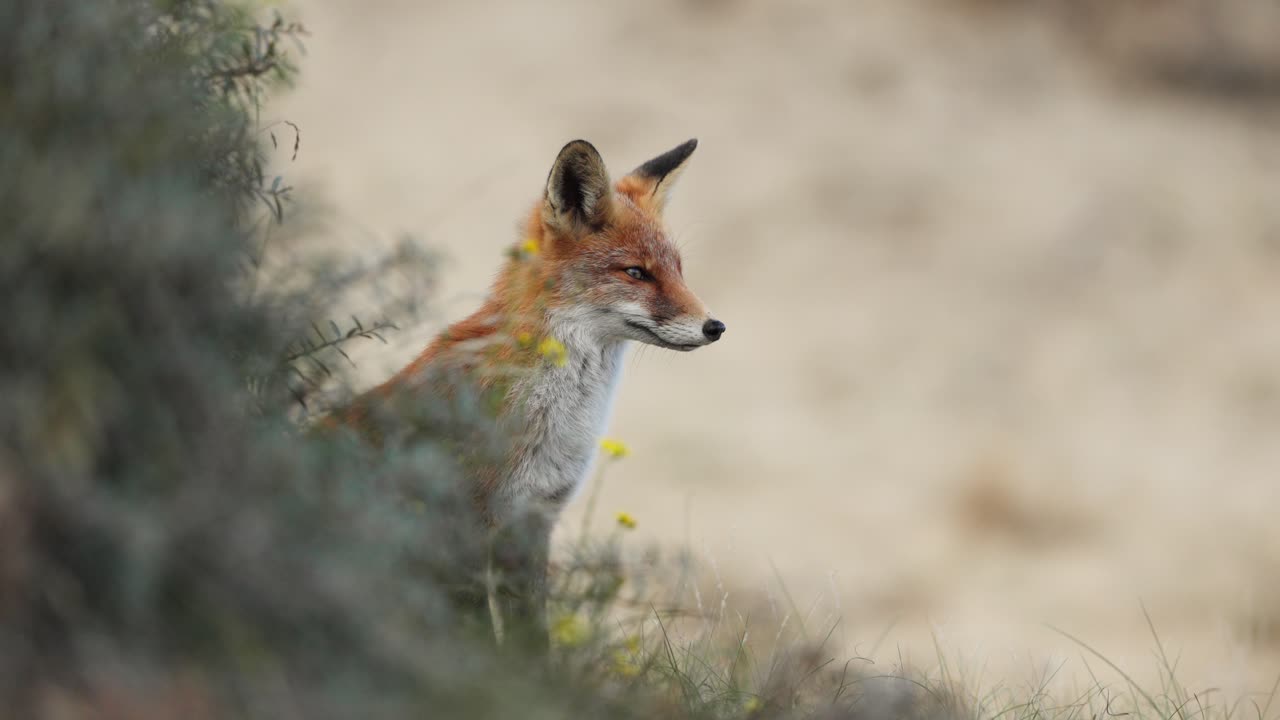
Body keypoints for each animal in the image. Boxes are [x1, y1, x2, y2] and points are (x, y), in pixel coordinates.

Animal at [334, 138, 725, 645]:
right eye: (636, 272)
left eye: (679, 270)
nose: (715, 327)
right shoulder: (468, 523)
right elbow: (477, 632)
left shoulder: (535, 519)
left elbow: (533, 638)